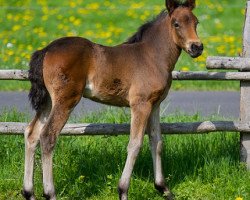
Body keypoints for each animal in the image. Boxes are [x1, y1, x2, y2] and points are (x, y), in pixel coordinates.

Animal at [22, 0, 203, 199]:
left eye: (196, 22)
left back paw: (29, 192)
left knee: (31, 133)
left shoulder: (154, 105)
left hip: (48, 102)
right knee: (48, 136)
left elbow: (156, 142)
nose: (196, 47)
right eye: (176, 24)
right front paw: (123, 190)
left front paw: (163, 189)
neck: (152, 57)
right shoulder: (140, 104)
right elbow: (135, 144)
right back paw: (50, 193)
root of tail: (46, 50)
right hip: (66, 100)